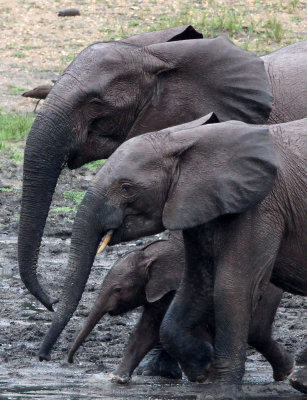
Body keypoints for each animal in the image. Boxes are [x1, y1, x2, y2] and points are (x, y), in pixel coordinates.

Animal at [67, 231, 294, 384]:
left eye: (118, 290)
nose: (69, 360)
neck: (150, 256)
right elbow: (147, 329)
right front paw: (117, 379)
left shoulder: (173, 287)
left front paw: (207, 373)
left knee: (256, 333)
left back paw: (285, 373)